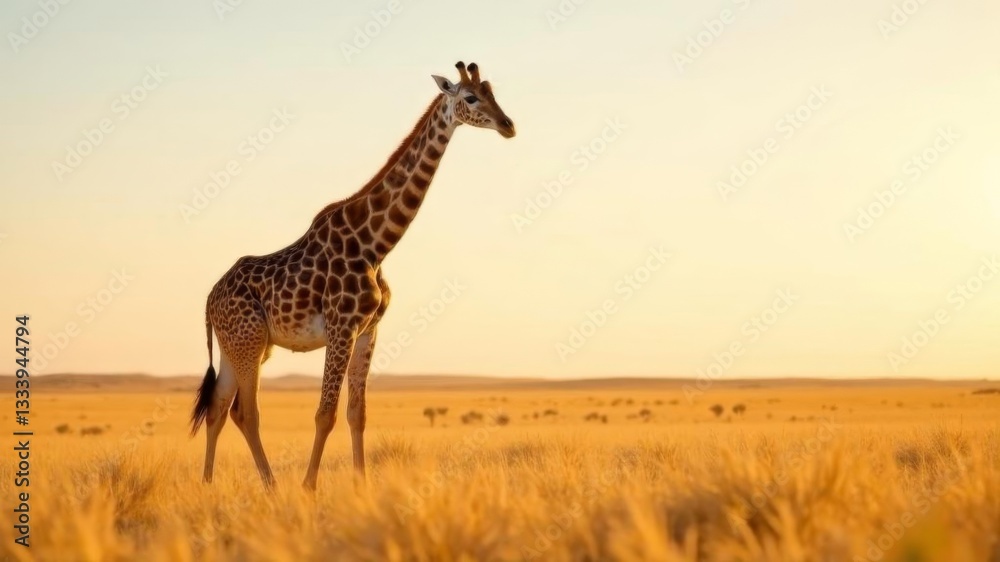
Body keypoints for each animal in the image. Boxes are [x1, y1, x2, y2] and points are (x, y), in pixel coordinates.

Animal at [189, 61, 516, 490]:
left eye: (493, 91)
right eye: (471, 97)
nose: (508, 125)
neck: (376, 245)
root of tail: (209, 300)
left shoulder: (368, 331)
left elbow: (357, 414)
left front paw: (363, 485)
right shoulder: (341, 327)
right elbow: (324, 414)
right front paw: (309, 487)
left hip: (238, 347)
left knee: (217, 408)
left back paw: (208, 484)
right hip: (249, 343)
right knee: (245, 412)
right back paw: (272, 487)